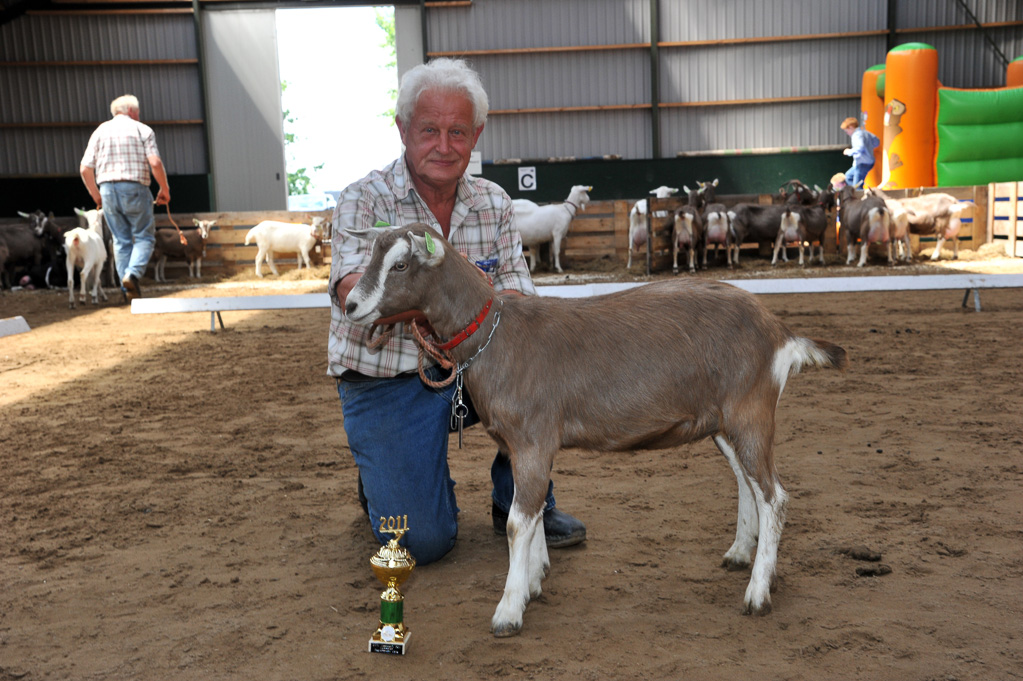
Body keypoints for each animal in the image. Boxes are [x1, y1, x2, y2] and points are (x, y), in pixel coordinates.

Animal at [343, 221, 847, 638]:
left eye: (401, 264)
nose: (350, 304)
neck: (496, 336)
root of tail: (779, 331)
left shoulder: (532, 438)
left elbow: (517, 522)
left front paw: (508, 611)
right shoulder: (522, 446)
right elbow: (529, 513)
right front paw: (534, 581)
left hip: (750, 410)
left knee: (774, 496)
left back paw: (758, 592)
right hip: (726, 419)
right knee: (747, 481)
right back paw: (742, 553)